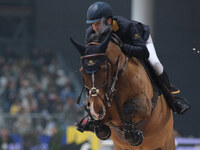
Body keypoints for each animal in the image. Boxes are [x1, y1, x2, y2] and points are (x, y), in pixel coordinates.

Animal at [70, 21, 175, 150]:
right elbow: (88, 109)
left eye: (104, 69)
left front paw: (133, 135)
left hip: (167, 142)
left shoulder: (146, 106)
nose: (97, 110)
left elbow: (127, 107)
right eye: (82, 71)